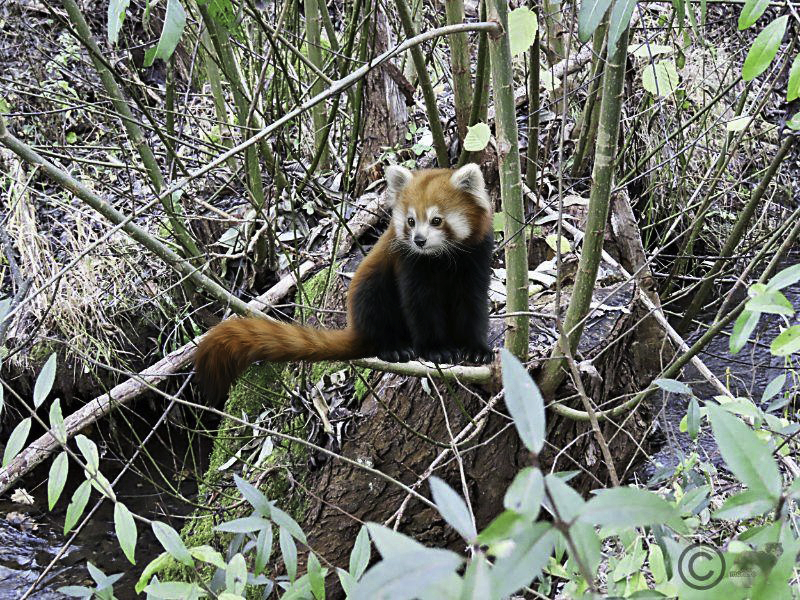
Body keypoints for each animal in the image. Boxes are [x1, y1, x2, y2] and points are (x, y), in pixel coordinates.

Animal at [194, 163, 494, 404]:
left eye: (436, 220)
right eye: (411, 220)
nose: (419, 240)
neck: (441, 259)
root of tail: (358, 326)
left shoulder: (475, 258)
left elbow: (473, 304)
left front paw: (476, 349)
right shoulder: (410, 264)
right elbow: (420, 306)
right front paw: (436, 349)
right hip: (370, 293)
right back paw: (394, 347)